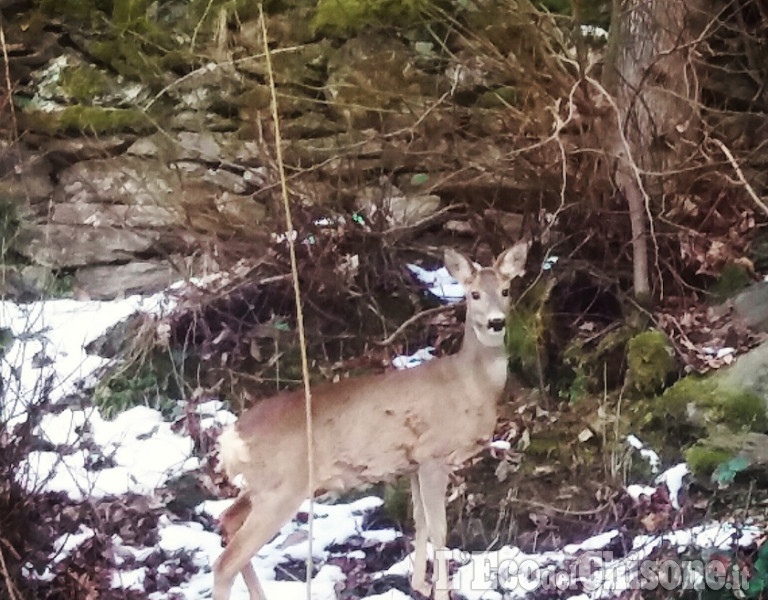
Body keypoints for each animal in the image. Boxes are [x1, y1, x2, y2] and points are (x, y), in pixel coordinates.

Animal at [213, 243, 532, 600]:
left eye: (505, 290)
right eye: (474, 293)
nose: (496, 322)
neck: (471, 385)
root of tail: (231, 438)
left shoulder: (412, 463)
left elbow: (420, 520)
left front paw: (419, 584)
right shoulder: (433, 454)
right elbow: (439, 528)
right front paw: (440, 592)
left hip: (262, 486)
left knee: (227, 520)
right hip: (281, 488)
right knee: (225, 562)